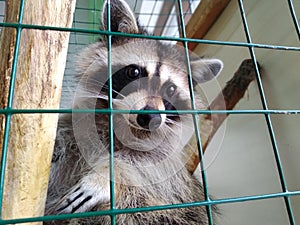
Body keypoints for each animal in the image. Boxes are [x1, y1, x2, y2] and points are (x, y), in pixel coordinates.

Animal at [44, 0, 223, 224]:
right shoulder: (81, 125)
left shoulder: (164, 159)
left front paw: (109, 174)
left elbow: (150, 167)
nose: (150, 118)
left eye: (171, 90)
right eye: (134, 72)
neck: (121, 124)